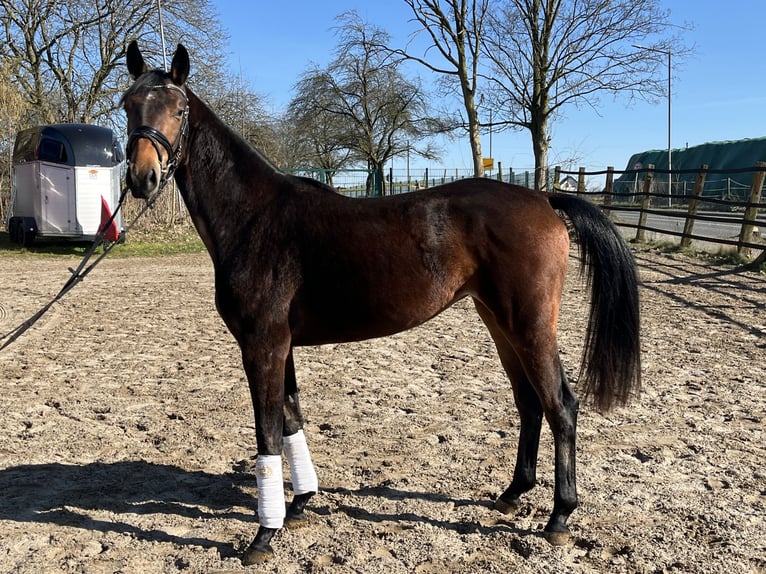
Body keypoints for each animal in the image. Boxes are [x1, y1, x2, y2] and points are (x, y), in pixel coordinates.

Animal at [124, 41, 640, 568]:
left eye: (178, 109)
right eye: (128, 105)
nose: (143, 178)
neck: (254, 218)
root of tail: (543, 198)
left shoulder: (261, 346)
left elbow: (267, 432)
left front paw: (264, 536)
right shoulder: (280, 346)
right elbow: (291, 419)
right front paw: (300, 506)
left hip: (530, 325)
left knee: (561, 405)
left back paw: (559, 517)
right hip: (499, 323)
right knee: (529, 403)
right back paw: (513, 494)